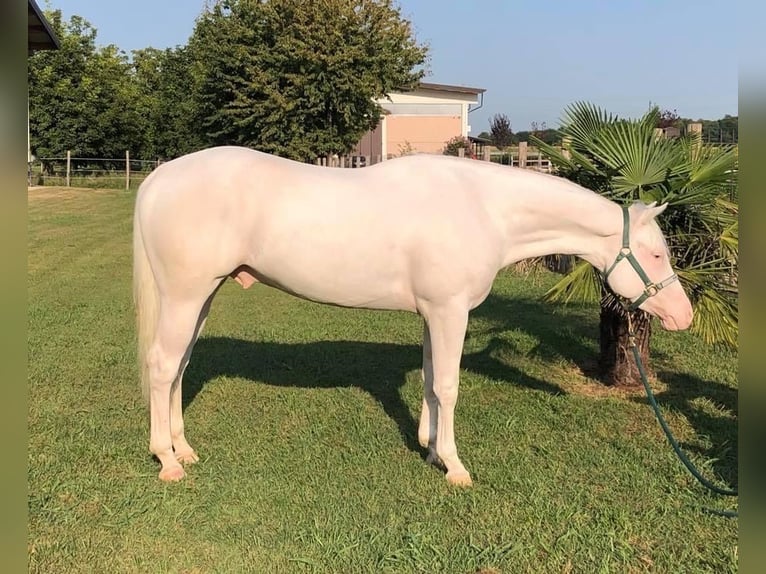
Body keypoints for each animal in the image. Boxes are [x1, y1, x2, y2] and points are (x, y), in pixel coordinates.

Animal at [134, 146, 696, 484]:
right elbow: (447, 385)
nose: (683, 316)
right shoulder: (450, 312)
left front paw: (429, 450)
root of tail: (158, 177)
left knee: (179, 367)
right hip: (185, 296)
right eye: (655, 254)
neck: (483, 208)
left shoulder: (433, 313)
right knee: (162, 367)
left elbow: (428, 380)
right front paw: (455, 466)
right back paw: (167, 461)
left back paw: (184, 448)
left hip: (202, 297)